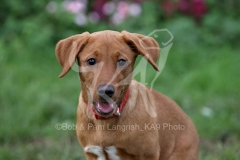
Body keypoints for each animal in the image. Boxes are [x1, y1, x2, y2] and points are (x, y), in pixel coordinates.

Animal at [55, 30, 199, 160]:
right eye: (91, 61)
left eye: (121, 61)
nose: (105, 91)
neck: (105, 122)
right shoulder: (93, 153)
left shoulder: (148, 154)